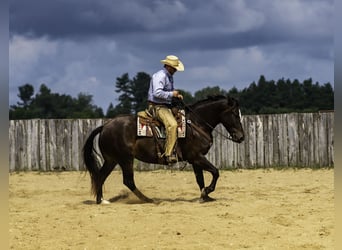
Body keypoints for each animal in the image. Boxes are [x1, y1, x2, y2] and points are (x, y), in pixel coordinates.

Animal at [82, 94, 243, 204]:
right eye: (235, 114)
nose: (241, 137)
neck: (196, 124)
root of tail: (105, 126)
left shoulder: (195, 159)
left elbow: (200, 179)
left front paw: (205, 196)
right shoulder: (196, 157)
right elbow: (215, 172)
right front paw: (208, 191)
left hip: (112, 159)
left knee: (100, 176)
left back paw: (101, 200)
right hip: (125, 159)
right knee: (128, 181)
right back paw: (148, 200)